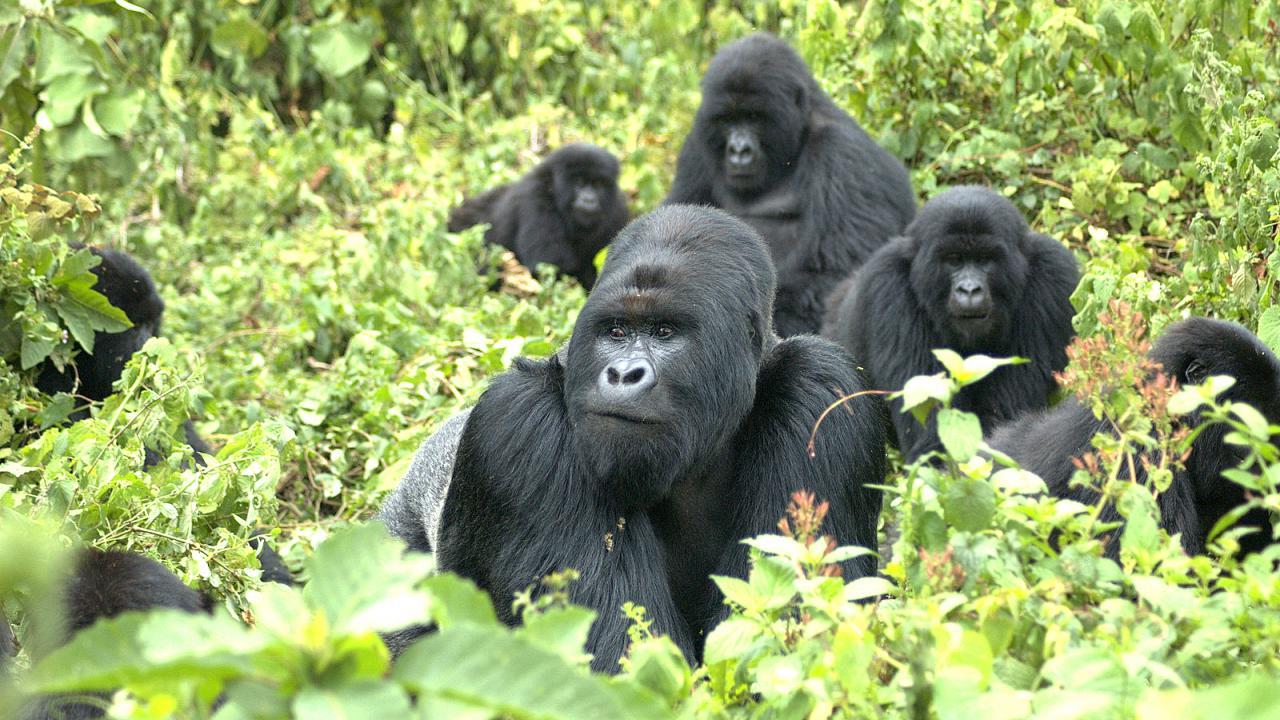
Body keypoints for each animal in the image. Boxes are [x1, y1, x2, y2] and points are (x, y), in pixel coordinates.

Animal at [448, 141, 632, 289]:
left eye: (598, 184)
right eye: (579, 183)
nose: (589, 200)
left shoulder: (618, 210)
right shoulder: (535, 199)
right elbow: (549, 265)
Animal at [665, 32, 916, 335]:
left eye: (754, 117)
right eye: (727, 120)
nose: (738, 151)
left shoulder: (845, 154)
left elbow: (832, 274)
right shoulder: (696, 145)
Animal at [819, 185, 1080, 458]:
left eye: (985, 259)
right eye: (954, 259)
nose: (970, 290)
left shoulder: (1053, 276)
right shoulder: (888, 286)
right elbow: (933, 438)